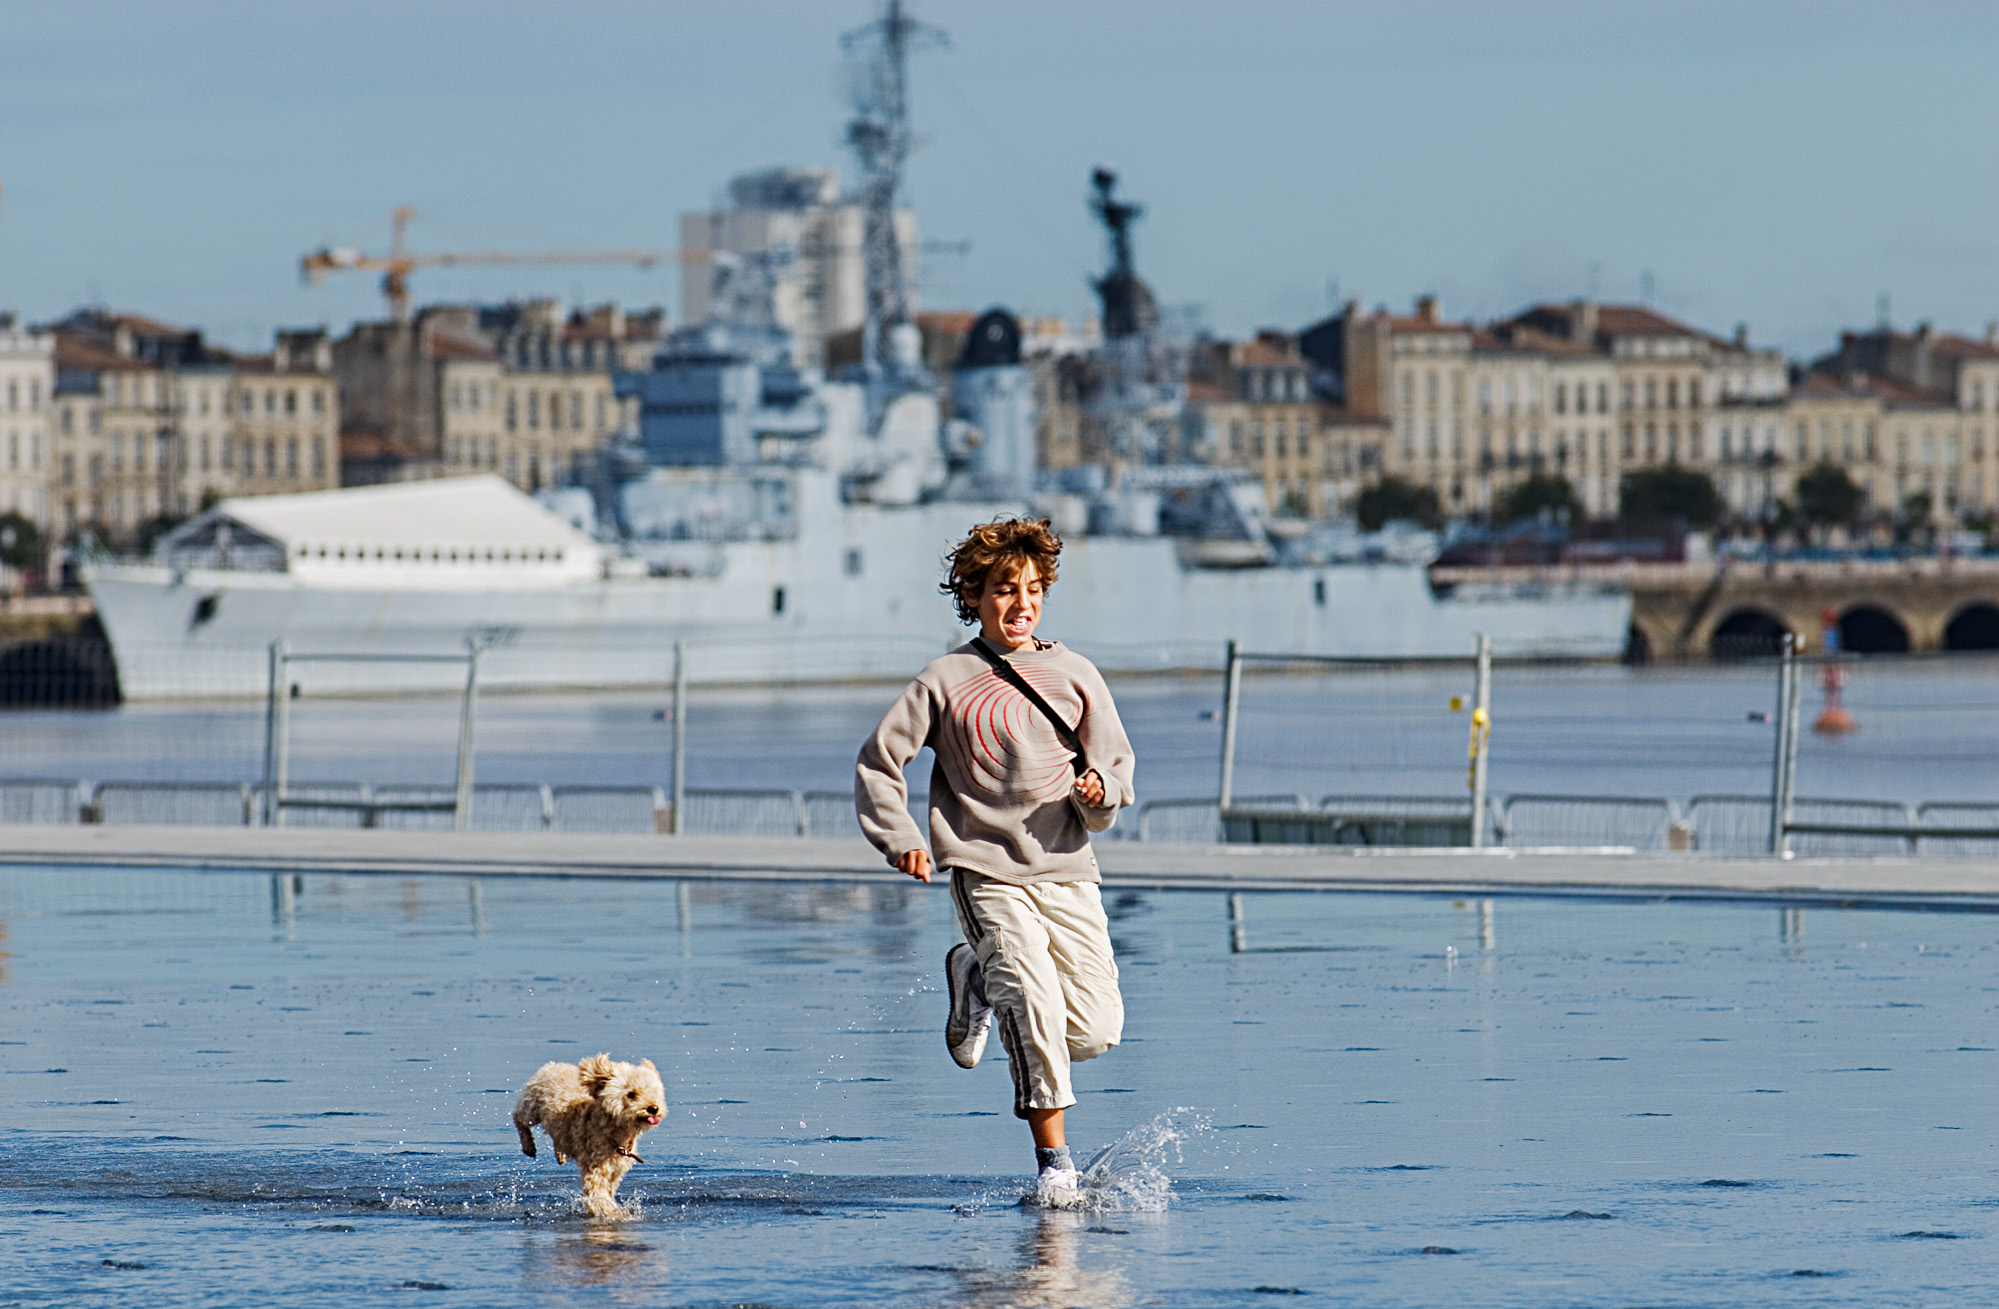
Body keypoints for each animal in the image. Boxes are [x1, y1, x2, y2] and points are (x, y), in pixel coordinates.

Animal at [511, 1055, 667, 1215]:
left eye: (653, 1092)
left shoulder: (616, 1172)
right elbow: (598, 1195)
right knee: (518, 1117)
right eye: (631, 1094)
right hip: (532, 1108)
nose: (653, 1108)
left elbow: (609, 1191)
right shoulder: (596, 1168)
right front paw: (610, 1212)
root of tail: (552, 1065)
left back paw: (560, 1155)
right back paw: (528, 1146)